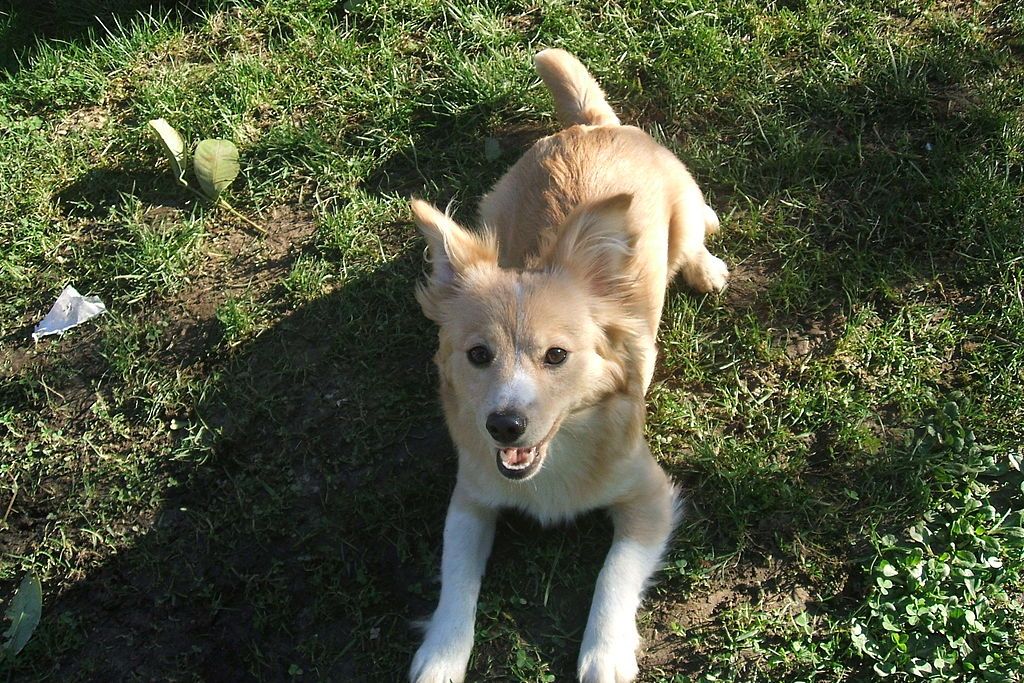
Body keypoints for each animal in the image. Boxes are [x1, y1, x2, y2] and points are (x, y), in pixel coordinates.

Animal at [407, 49, 729, 683]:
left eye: (557, 355)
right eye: (478, 355)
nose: (504, 425)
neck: (554, 460)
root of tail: (591, 126)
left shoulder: (651, 496)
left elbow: (613, 575)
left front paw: (605, 656)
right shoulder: (470, 500)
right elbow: (456, 582)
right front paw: (441, 656)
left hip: (681, 207)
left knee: (696, 226)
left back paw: (706, 262)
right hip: (493, 204)